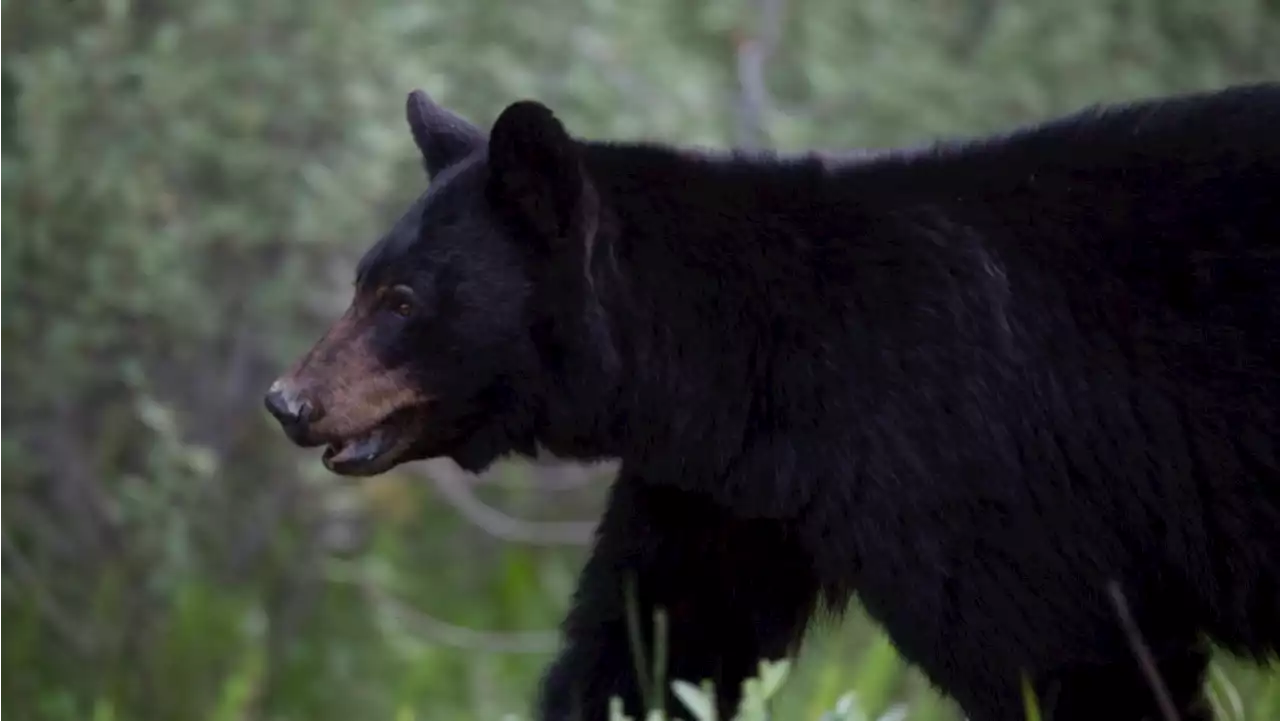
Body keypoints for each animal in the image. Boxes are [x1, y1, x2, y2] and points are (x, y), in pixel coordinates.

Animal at [264, 85, 1280, 721]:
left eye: (402, 301)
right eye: (363, 281)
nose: (287, 400)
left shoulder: (962, 461)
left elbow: (1066, 651)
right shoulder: (727, 494)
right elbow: (652, 648)